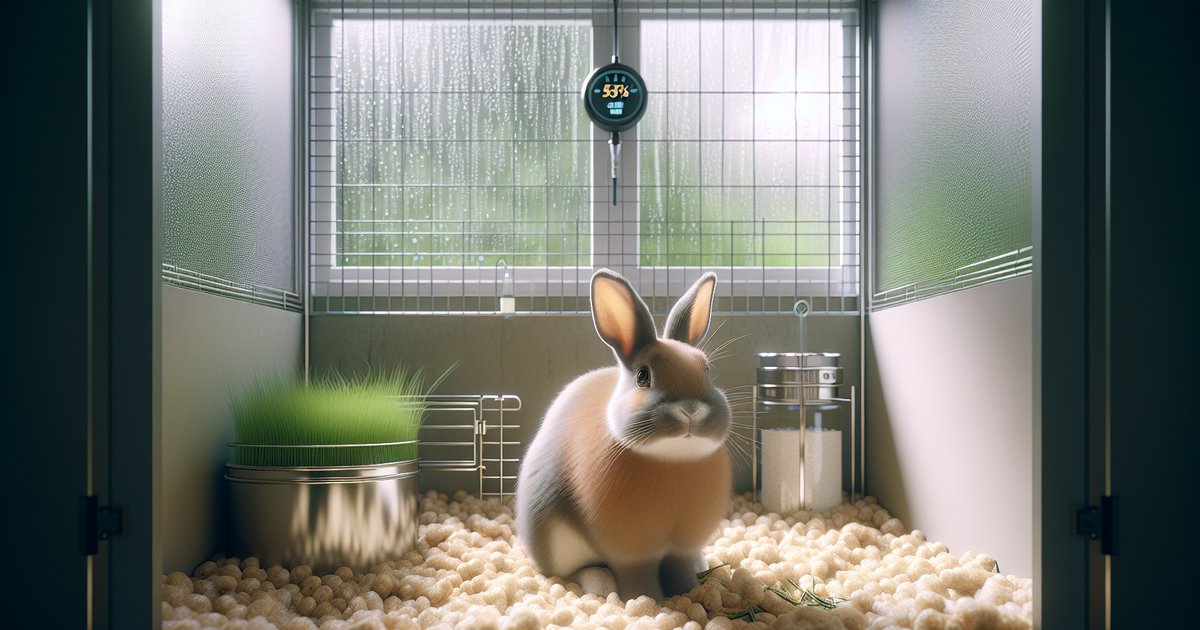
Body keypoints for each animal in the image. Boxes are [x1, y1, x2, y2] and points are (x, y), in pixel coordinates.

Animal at [516, 269, 732, 600]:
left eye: (707, 370)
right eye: (643, 376)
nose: (690, 411)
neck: (673, 459)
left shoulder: (682, 545)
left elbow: (679, 566)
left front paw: (688, 591)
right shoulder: (633, 553)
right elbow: (638, 574)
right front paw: (649, 600)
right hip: (557, 544)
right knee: (572, 572)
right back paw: (601, 586)